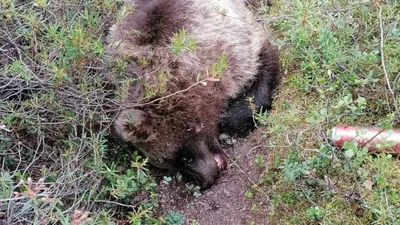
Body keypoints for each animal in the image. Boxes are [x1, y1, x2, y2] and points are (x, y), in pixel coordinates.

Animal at [108, 0, 280, 189]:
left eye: (183, 158)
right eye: (170, 164)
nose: (205, 181)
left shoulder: (236, 43)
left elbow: (264, 62)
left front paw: (230, 118)